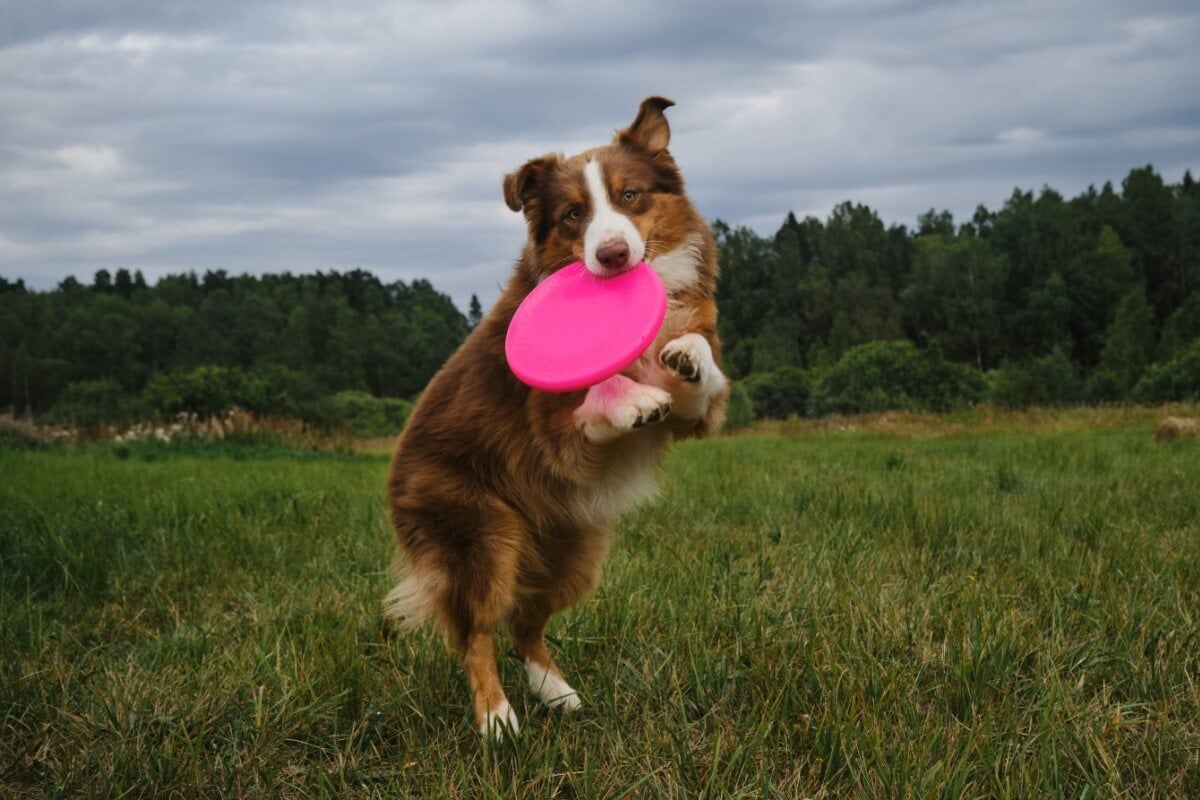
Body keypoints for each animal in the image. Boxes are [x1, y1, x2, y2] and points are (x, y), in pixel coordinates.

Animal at [384, 97, 724, 743]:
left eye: (631, 196)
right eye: (573, 214)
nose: (612, 255)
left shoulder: (698, 417)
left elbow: (700, 369)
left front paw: (685, 357)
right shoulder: (550, 429)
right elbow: (592, 396)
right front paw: (631, 399)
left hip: (575, 550)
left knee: (526, 622)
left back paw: (557, 693)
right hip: (482, 537)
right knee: (478, 632)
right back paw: (496, 718)